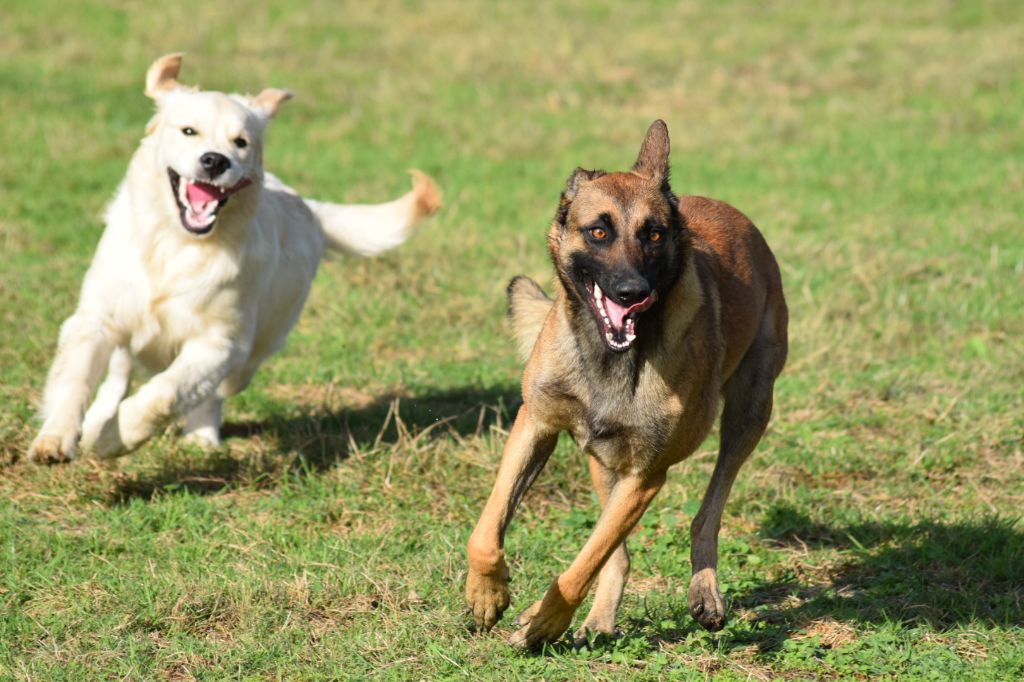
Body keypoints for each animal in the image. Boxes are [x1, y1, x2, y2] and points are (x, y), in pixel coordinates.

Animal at [26, 53, 440, 463]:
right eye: (188, 131)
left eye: (241, 142)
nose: (214, 161)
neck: (177, 244)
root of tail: (309, 208)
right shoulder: (96, 319)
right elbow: (74, 380)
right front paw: (57, 439)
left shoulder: (219, 342)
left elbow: (165, 395)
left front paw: (114, 438)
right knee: (117, 375)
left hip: (253, 354)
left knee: (211, 394)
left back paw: (199, 435)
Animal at [465, 120, 788, 648]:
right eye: (598, 231)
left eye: (653, 235)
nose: (632, 292)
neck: (606, 357)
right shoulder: (535, 425)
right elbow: (487, 532)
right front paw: (488, 594)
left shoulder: (645, 475)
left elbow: (581, 566)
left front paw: (544, 622)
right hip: (603, 456)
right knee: (617, 550)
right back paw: (600, 619)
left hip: (749, 413)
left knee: (707, 513)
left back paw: (704, 591)